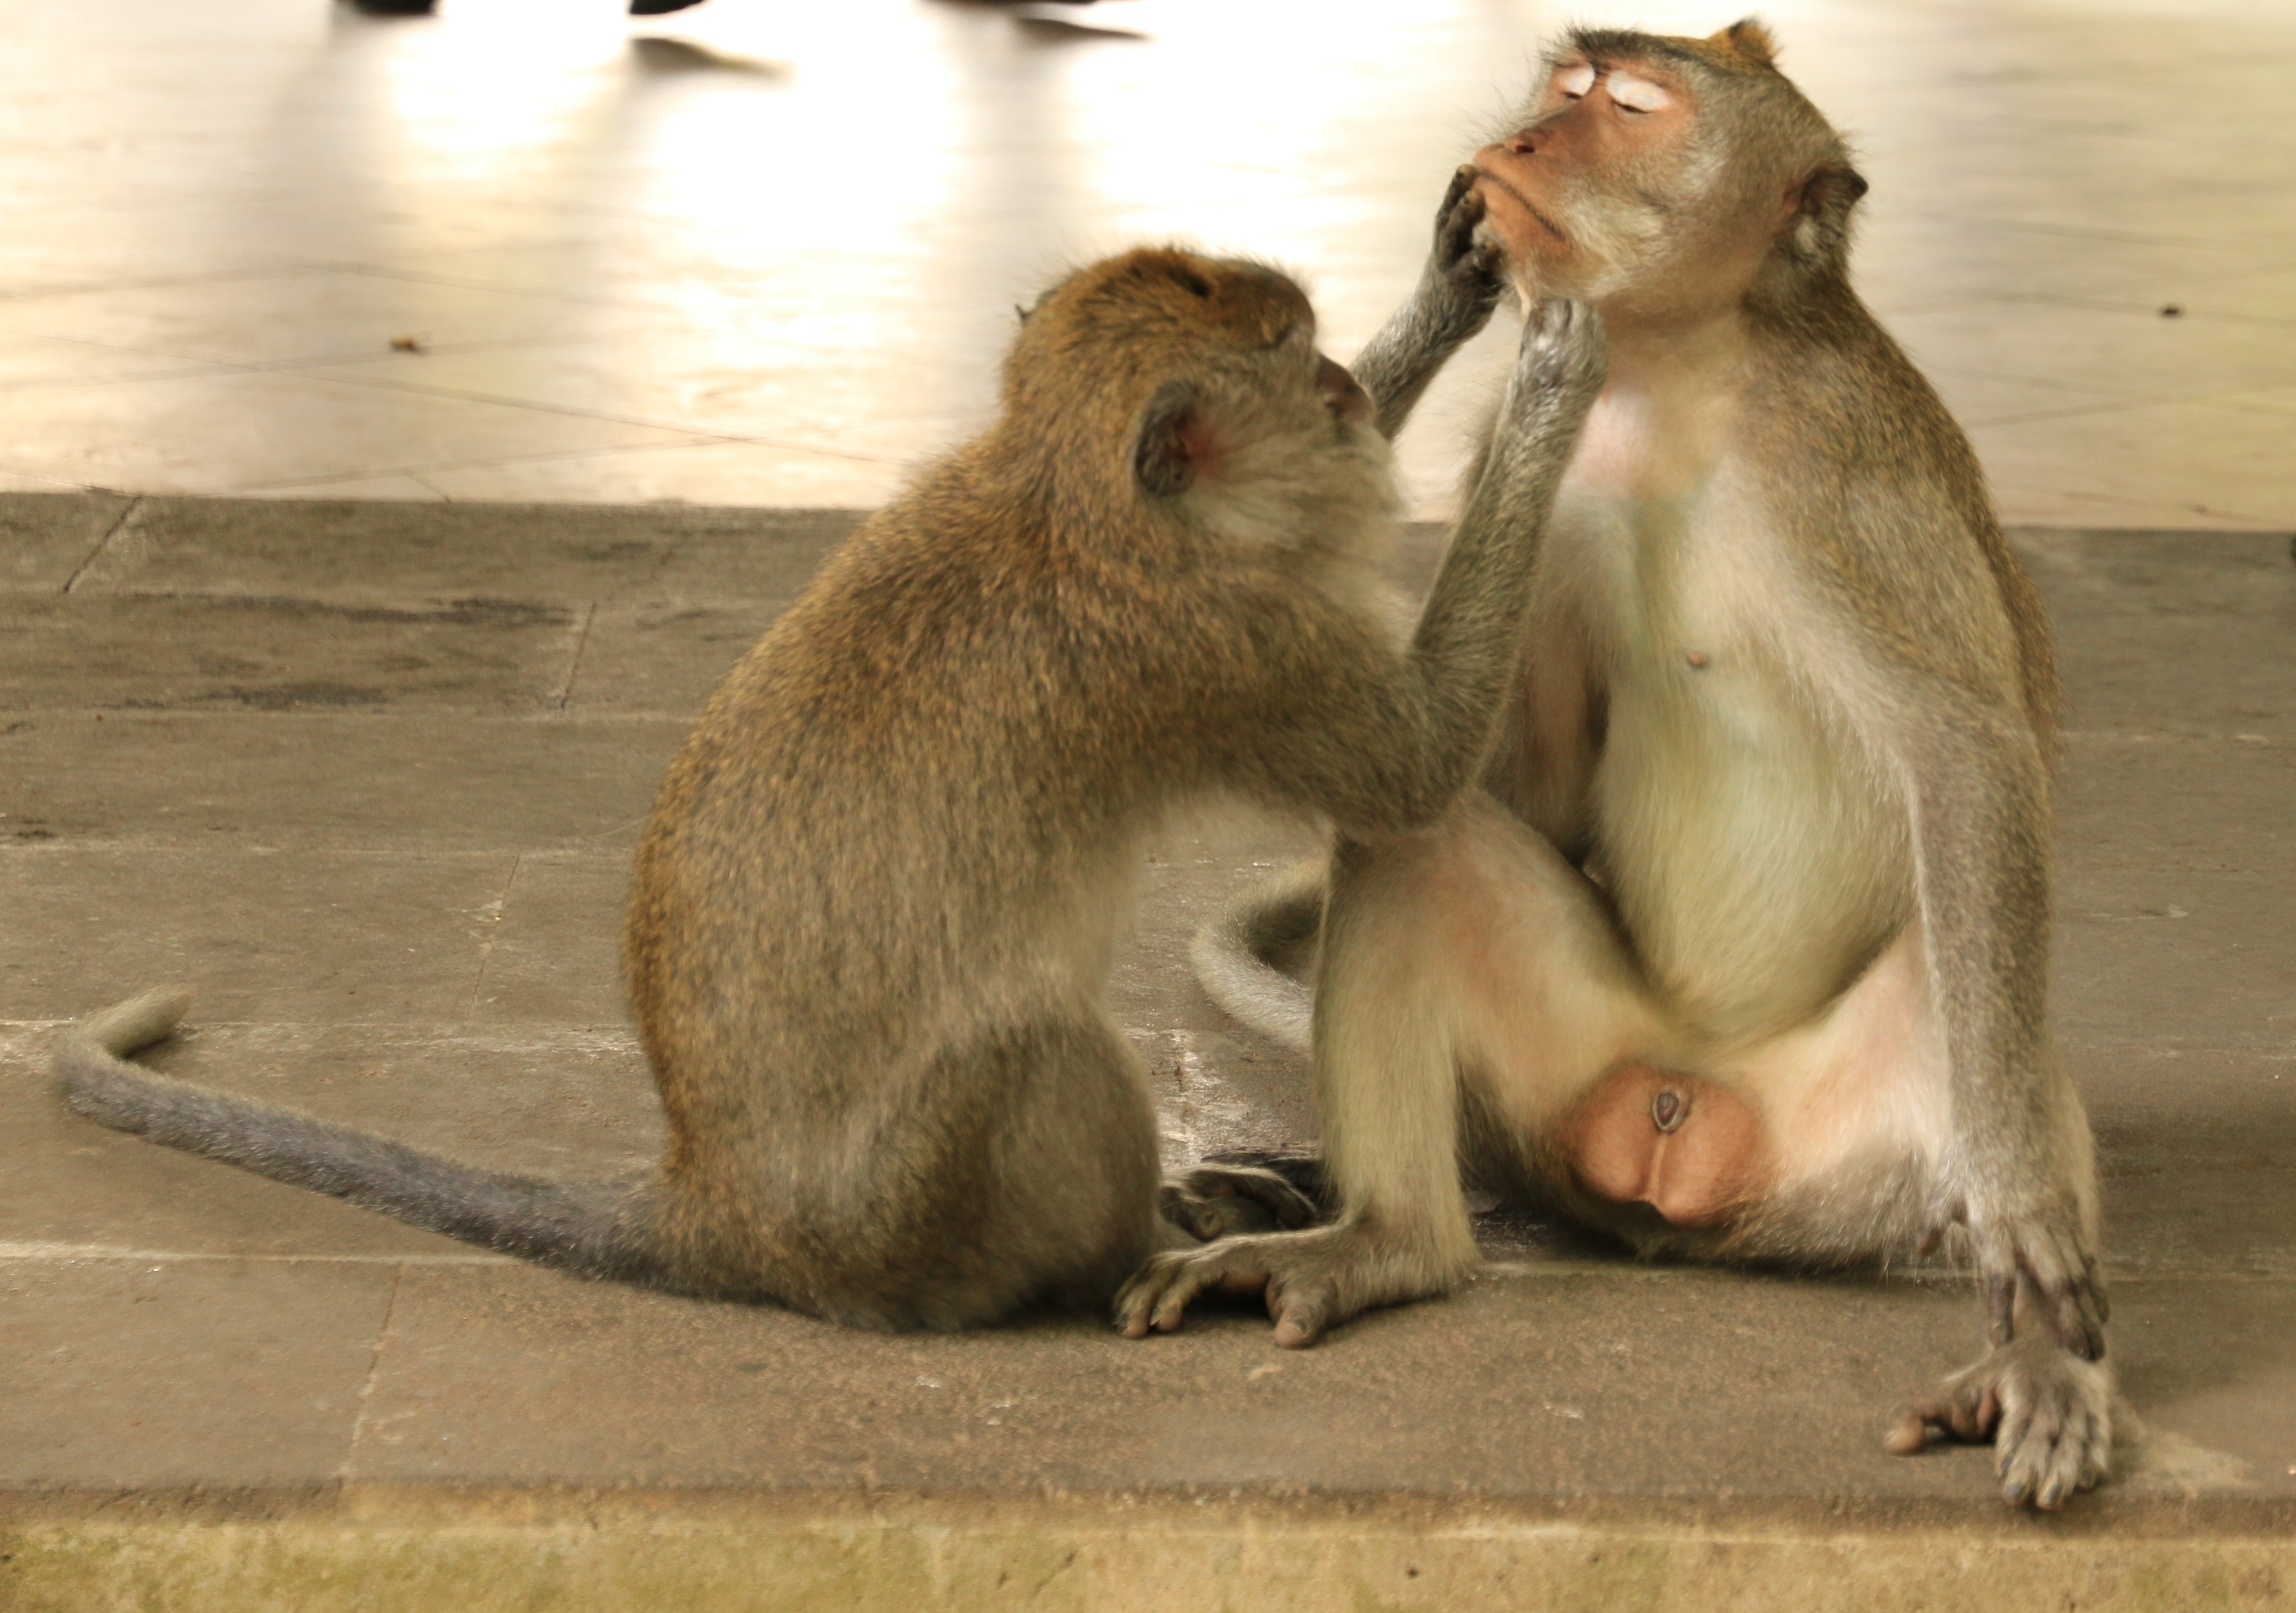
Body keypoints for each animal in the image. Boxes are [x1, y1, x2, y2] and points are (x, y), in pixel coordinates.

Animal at [56, 242, 1607, 1334]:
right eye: (1293, 361)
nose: (1347, 389)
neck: (1062, 498)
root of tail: (716, 1209)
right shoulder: (1232, 644)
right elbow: (1415, 774)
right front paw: (1549, 387)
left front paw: (1453, 286)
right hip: (922, 1211)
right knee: (1033, 1046)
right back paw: (1147, 1243)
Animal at [1121, 21, 2111, 1511]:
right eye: (1565, 90)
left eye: (1635, 108)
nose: (1525, 144)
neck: (1674, 375)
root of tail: (1683, 1119)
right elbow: (1494, 783)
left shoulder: (1845, 472)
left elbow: (1967, 759)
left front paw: (2025, 1224)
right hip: (1569, 1067)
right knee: (1418, 839)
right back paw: (1383, 1235)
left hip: (1858, 1157)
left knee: (1983, 987)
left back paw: (2039, 1357)